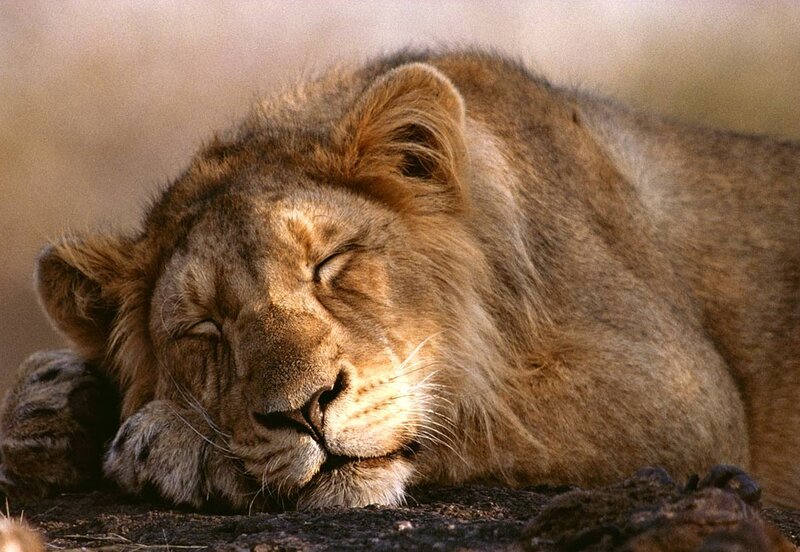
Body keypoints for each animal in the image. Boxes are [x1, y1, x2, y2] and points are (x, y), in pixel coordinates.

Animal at [1, 49, 798, 511]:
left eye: (330, 264)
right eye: (205, 329)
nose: (304, 410)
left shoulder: (682, 395)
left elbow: (482, 412)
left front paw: (169, 442)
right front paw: (46, 407)